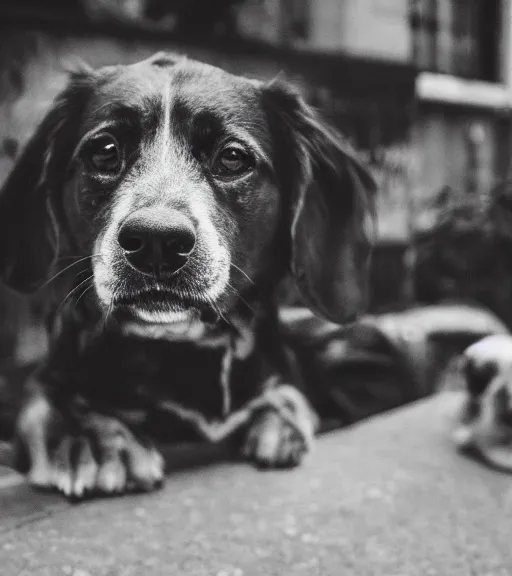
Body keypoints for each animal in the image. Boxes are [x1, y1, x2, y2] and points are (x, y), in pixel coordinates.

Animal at [0, 51, 376, 498]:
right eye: (105, 150)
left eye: (233, 156)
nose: (156, 240)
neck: (182, 353)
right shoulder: (44, 382)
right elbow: (45, 403)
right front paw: (93, 438)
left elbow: (286, 393)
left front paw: (276, 418)